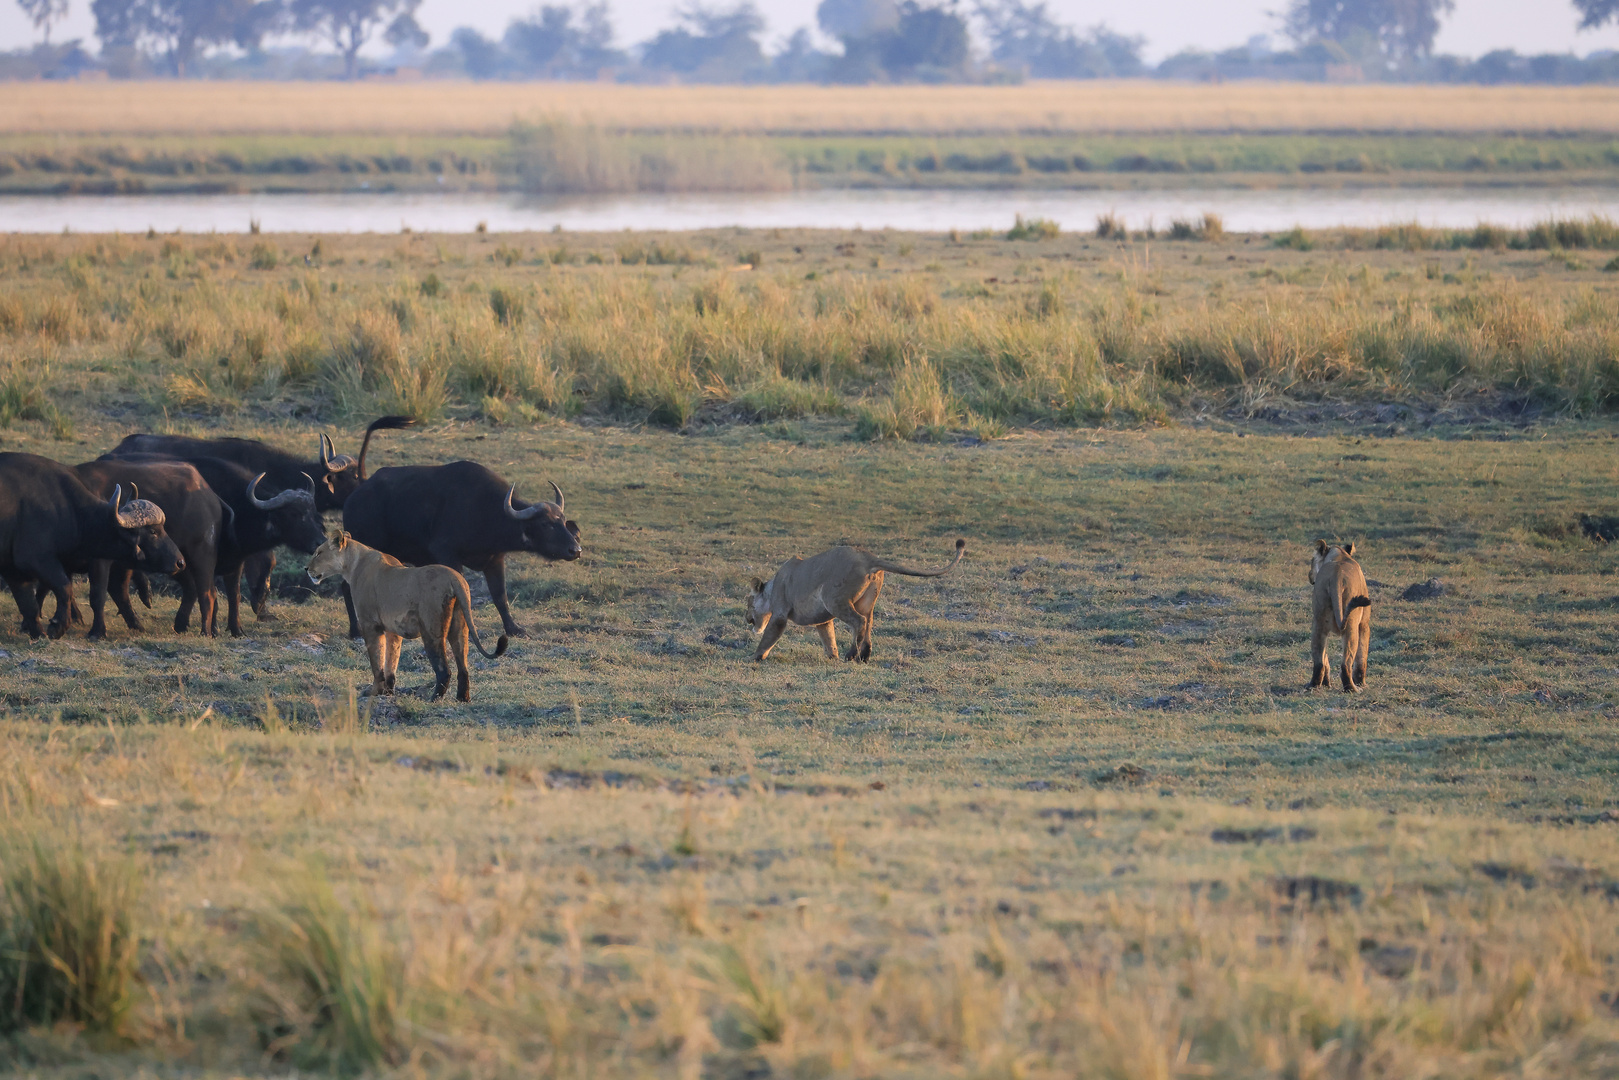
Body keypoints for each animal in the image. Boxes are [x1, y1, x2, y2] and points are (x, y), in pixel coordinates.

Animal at [0, 453, 184, 637]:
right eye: (153, 531)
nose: (180, 562)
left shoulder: (13, 570)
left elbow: (29, 604)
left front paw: (38, 633)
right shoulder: (36, 559)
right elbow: (69, 588)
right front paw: (63, 626)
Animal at [344, 459, 586, 637]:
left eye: (563, 520)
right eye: (545, 524)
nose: (575, 550)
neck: (486, 510)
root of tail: (354, 498)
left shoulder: (495, 560)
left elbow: (500, 596)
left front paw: (514, 628)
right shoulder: (447, 553)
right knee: (347, 587)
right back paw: (356, 630)